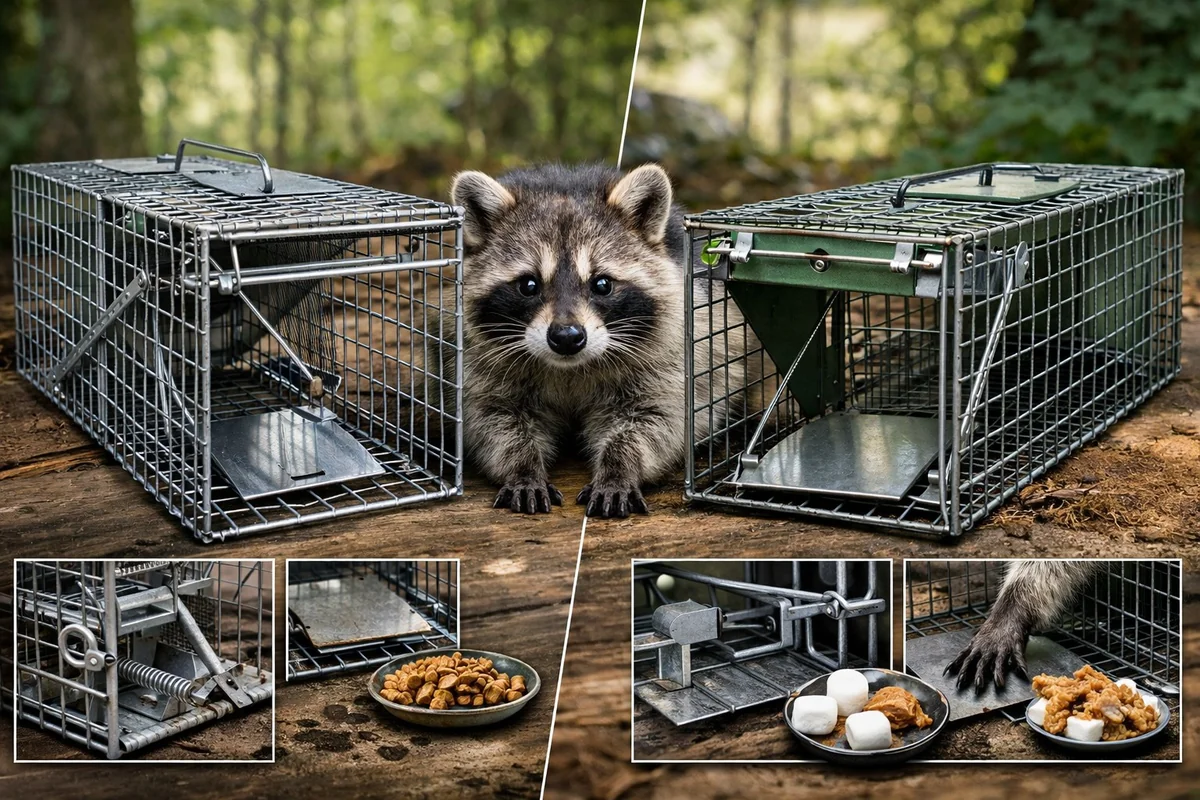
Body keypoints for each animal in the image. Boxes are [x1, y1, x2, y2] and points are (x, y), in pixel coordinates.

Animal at [449, 162, 745, 518]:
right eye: (528, 285)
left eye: (602, 284)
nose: (566, 337)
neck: (569, 366)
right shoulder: (480, 364)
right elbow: (494, 419)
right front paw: (523, 466)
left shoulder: (670, 356)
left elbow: (656, 420)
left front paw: (619, 467)